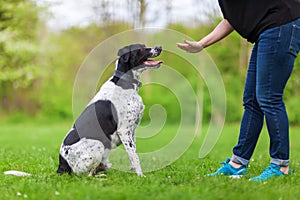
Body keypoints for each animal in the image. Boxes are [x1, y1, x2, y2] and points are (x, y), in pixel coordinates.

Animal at [57, 44, 163, 177]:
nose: (160, 47)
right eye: (141, 48)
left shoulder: (132, 131)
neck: (125, 82)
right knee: (86, 175)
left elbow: (133, 155)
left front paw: (134, 173)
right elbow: (135, 157)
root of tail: (61, 164)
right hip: (98, 145)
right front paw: (140, 176)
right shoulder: (124, 131)